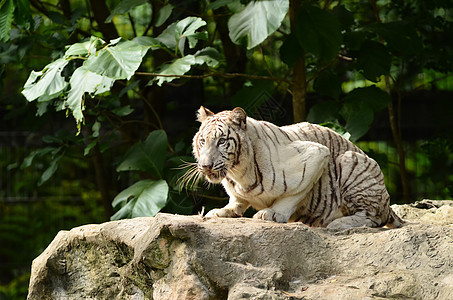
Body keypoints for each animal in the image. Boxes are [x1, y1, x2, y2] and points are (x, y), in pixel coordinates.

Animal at [191, 106, 402, 230]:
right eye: (202, 141)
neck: (238, 172)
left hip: (350, 161)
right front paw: (222, 211)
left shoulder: (317, 155)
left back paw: (338, 223)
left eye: (221, 141)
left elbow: (293, 194)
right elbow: (237, 200)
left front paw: (272, 214)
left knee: (374, 217)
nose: (205, 166)